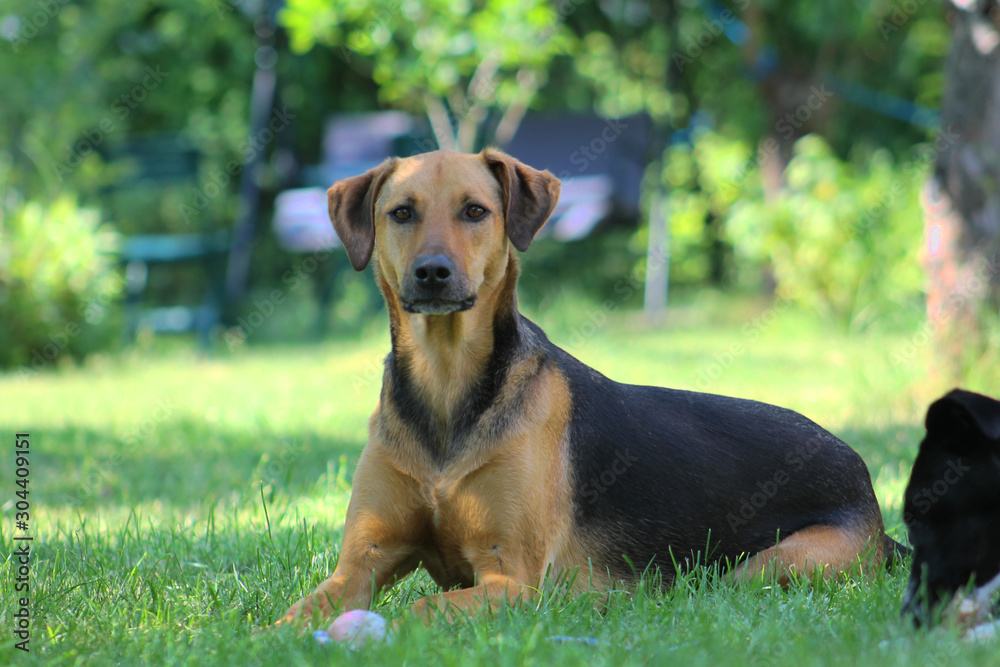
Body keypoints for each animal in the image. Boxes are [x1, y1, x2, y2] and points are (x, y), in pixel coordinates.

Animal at [278, 147, 904, 628]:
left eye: (475, 211)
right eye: (401, 212)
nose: (432, 272)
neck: (446, 388)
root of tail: (871, 494)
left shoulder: (513, 580)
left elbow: (420, 609)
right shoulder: (361, 563)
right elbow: (293, 615)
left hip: (765, 568)